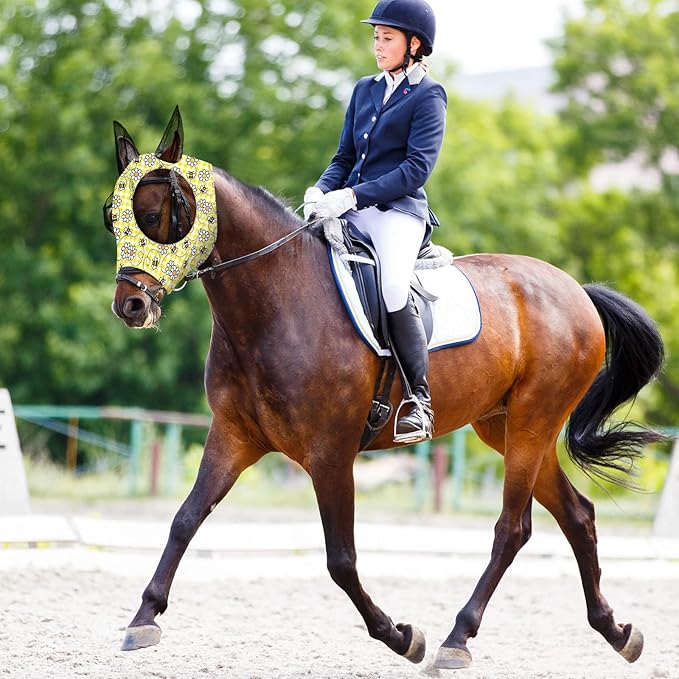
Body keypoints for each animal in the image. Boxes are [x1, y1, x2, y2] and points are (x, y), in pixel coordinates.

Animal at [108, 109, 665, 670]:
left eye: (152, 215)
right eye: (113, 219)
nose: (129, 307)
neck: (275, 305)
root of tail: (576, 291)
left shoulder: (330, 454)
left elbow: (341, 559)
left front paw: (400, 636)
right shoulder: (233, 437)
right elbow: (184, 519)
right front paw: (143, 619)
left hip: (533, 422)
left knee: (513, 528)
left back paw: (456, 640)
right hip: (507, 427)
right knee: (576, 514)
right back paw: (618, 632)